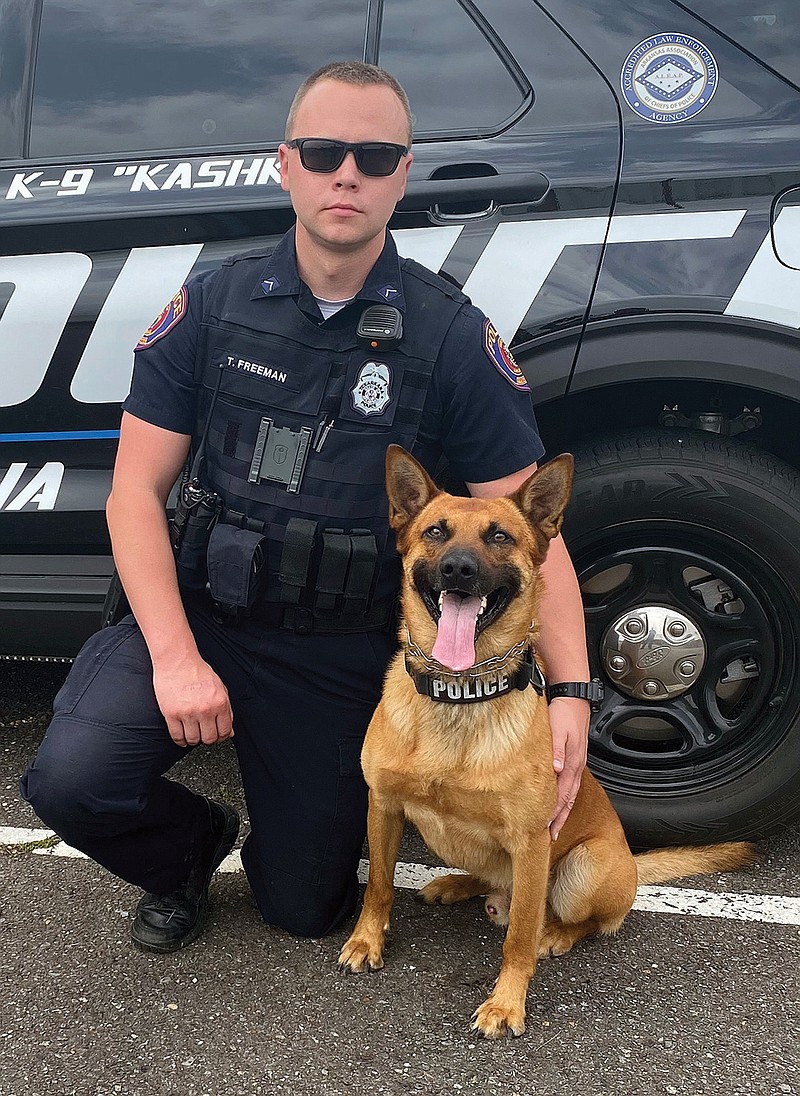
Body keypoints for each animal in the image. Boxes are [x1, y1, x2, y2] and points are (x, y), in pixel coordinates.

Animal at [337, 442, 753, 1034]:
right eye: (436, 531)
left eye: (499, 537)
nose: (458, 568)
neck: (458, 691)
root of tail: (632, 862)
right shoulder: (384, 806)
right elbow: (377, 886)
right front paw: (367, 940)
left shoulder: (533, 840)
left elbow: (517, 939)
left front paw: (507, 1002)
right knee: (490, 880)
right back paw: (454, 884)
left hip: (583, 867)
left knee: (577, 920)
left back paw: (554, 934)